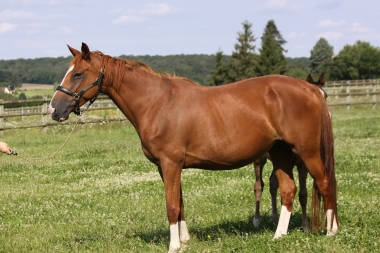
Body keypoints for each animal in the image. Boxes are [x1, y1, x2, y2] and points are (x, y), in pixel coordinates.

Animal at [252, 72, 326, 232]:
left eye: (326, 95)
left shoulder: (302, 165)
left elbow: (303, 194)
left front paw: (305, 226)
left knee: (273, 183)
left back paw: (274, 217)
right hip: (259, 160)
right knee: (259, 185)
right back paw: (257, 219)